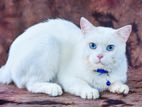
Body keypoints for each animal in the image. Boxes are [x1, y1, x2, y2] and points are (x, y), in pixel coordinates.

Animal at [0, 16, 131, 99]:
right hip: (48, 41)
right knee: (30, 84)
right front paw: (89, 91)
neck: (100, 72)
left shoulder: (119, 76)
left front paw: (120, 87)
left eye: (110, 48)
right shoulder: (68, 77)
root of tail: (8, 62)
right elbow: (81, 83)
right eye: (92, 45)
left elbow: (116, 82)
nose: (99, 55)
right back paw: (53, 88)